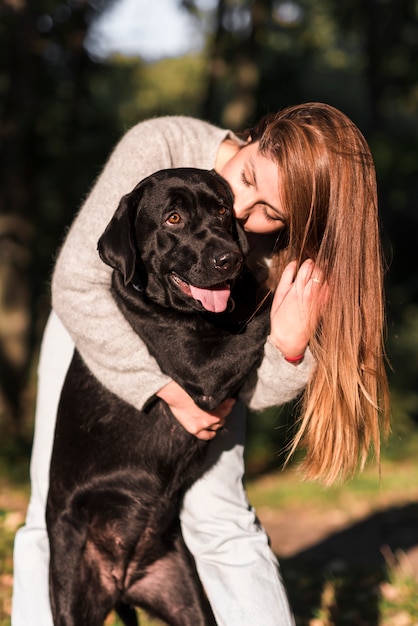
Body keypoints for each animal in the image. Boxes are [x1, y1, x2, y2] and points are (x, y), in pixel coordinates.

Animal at [46, 168, 272, 620]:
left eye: (223, 210)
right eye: (173, 219)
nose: (230, 259)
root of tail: (121, 580)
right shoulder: (204, 372)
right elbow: (265, 313)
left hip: (185, 596)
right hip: (70, 592)